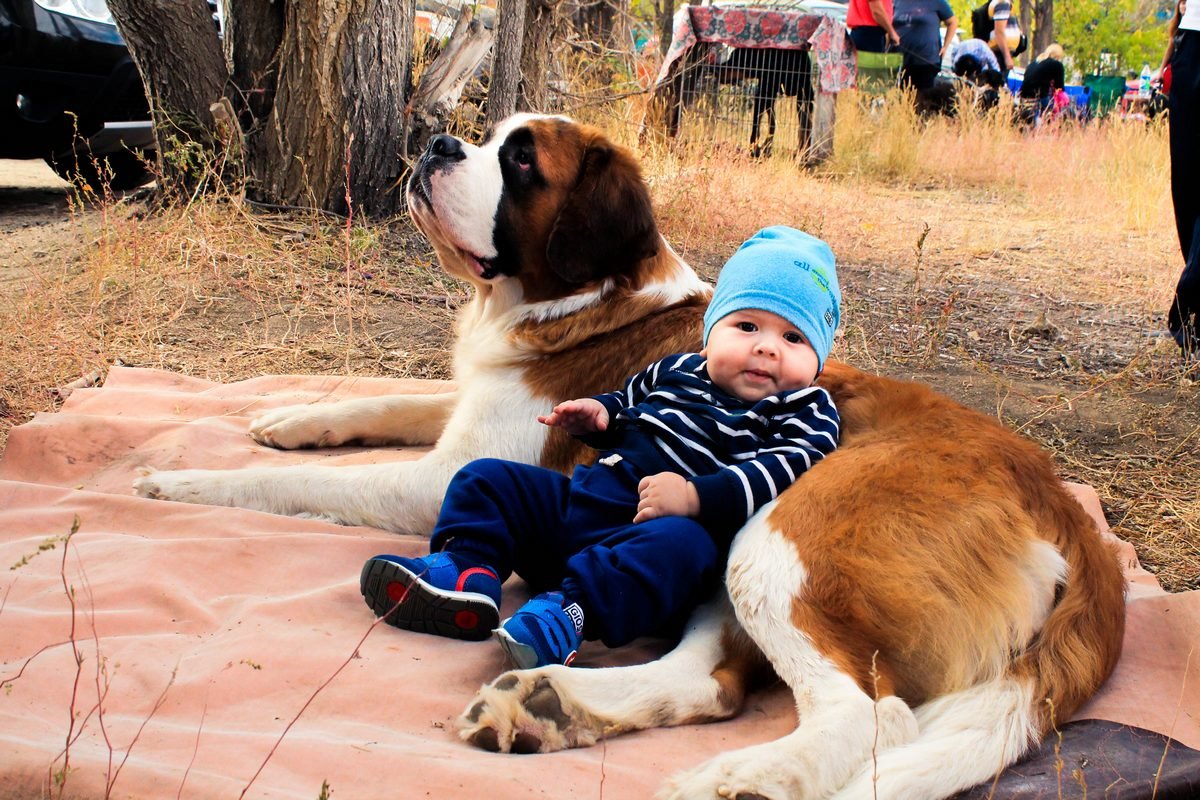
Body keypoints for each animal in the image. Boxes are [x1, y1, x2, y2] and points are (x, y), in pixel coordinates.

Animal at [136, 113, 1128, 800]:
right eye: (487, 139)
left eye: (521, 161)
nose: (437, 141)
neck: (590, 300)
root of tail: (1065, 505)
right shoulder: (470, 411)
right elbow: (380, 401)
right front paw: (286, 413)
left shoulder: (433, 478)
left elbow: (301, 483)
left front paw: (179, 475)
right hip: (738, 565)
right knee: (708, 682)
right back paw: (548, 708)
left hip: (783, 535)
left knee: (869, 711)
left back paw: (743, 778)